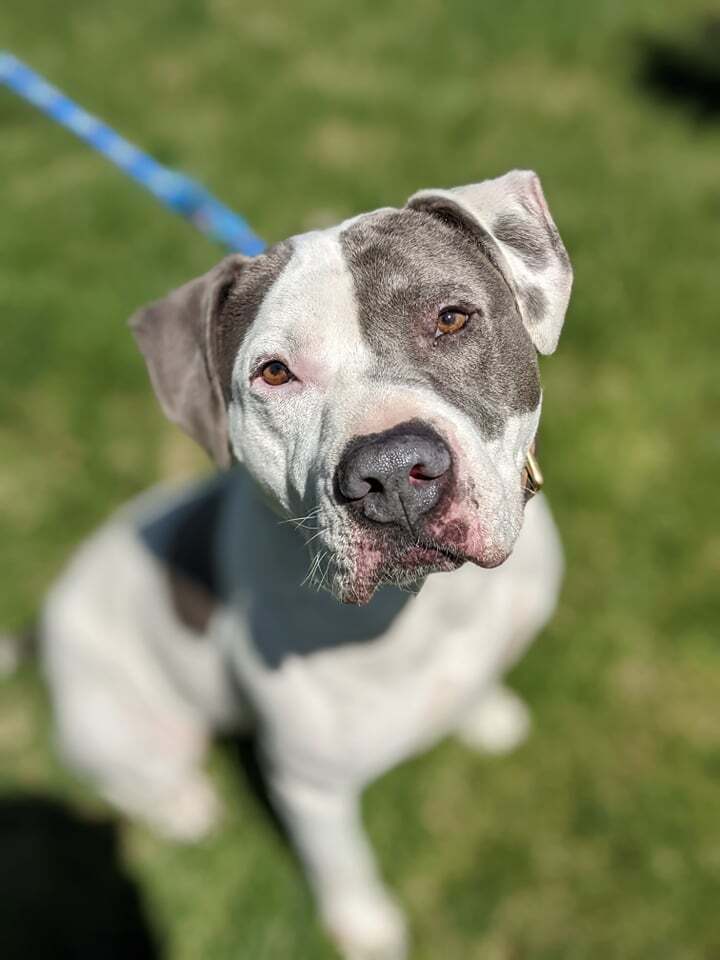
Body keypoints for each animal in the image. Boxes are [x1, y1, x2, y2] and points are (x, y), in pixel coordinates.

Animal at [42, 169, 572, 956]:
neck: (432, 609)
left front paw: (487, 714)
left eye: (451, 318)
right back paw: (185, 806)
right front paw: (366, 928)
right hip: (118, 722)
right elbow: (342, 861)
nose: (391, 470)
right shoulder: (309, 786)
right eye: (273, 373)